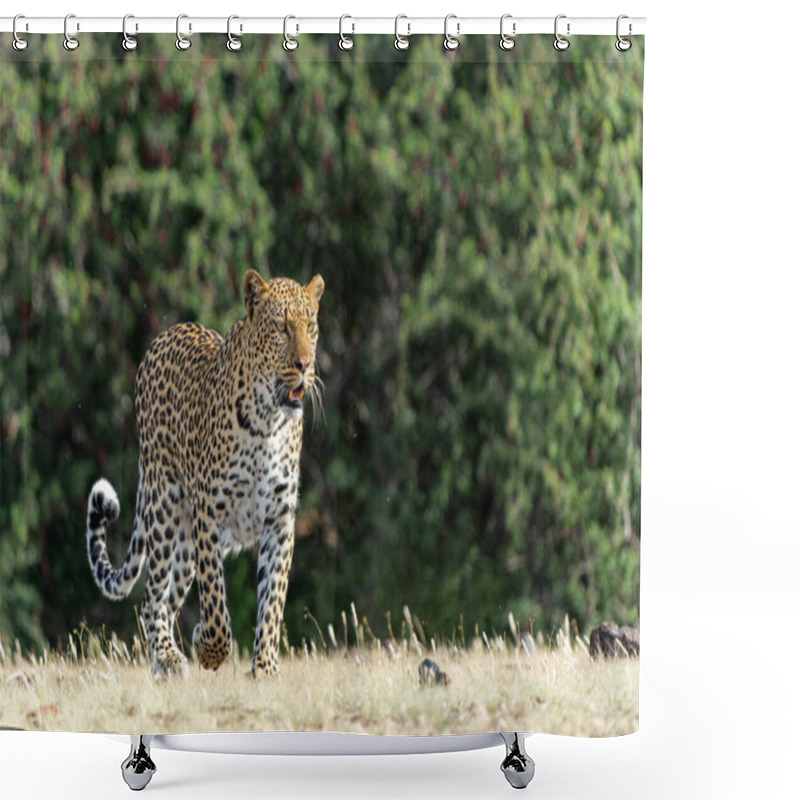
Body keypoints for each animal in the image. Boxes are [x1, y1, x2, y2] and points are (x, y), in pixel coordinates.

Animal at [86, 272, 324, 680]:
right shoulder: (209, 513)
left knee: (167, 601)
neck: (269, 423)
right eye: (281, 327)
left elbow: (273, 598)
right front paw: (210, 649)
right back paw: (167, 657)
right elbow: (214, 597)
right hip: (165, 508)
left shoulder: (279, 520)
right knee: (151, 596)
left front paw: (265, 667)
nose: (305, 364)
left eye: (310, 326)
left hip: (183, 542)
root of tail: (165, 335)